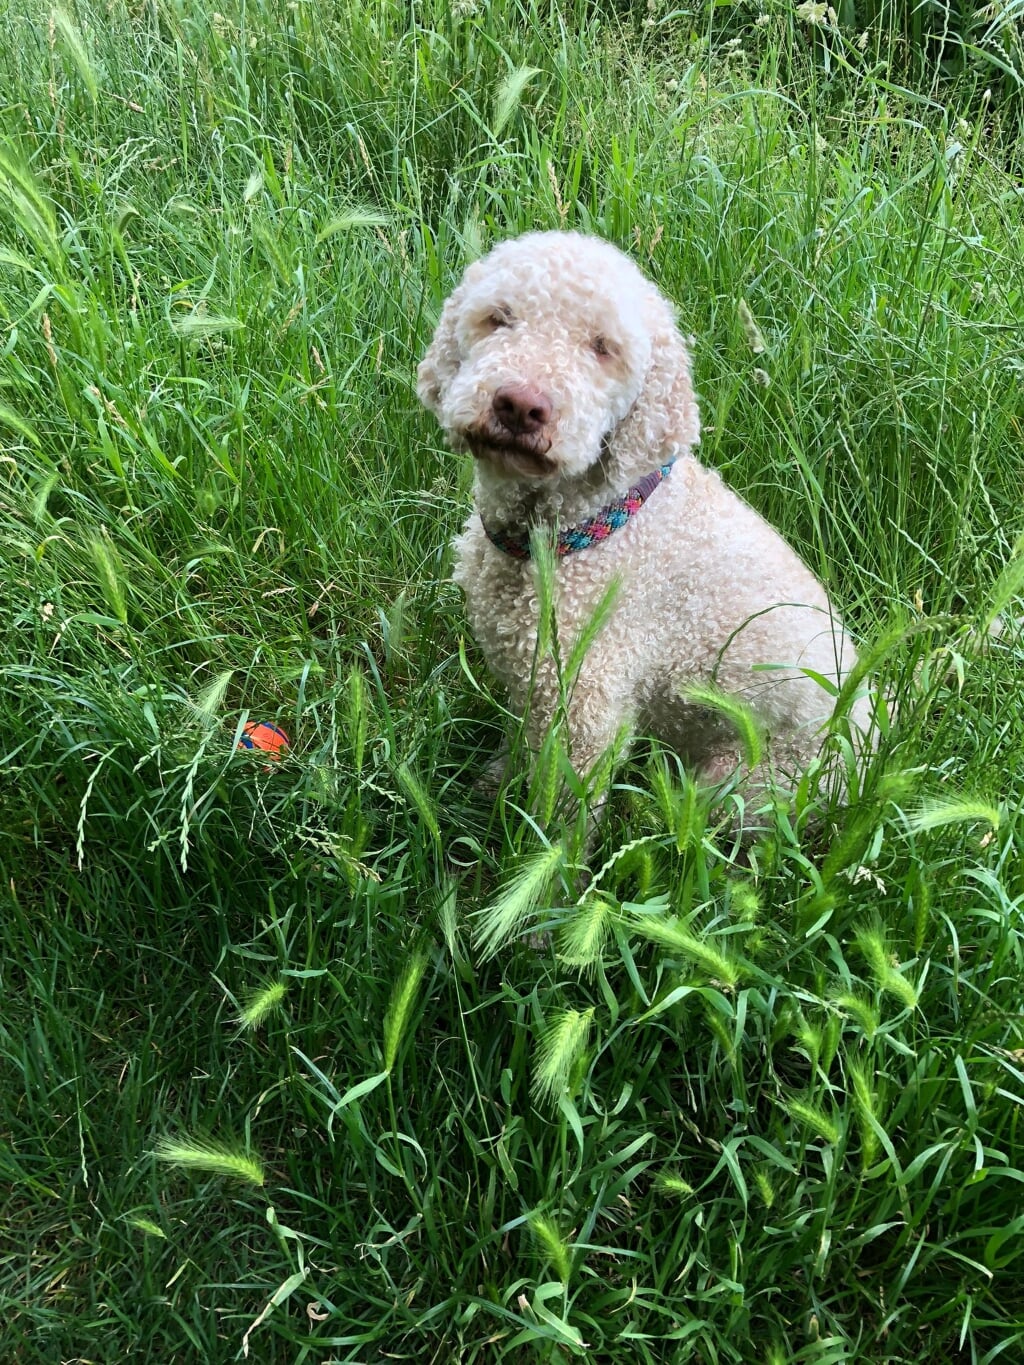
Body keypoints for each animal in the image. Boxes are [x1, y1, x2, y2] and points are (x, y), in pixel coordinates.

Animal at [420, 230, 868, 813]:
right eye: (498, 318)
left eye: (602, 347)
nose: (520, 404)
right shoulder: (531, 679)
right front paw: (498, 781)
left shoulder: (584, 707)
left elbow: (562, 808)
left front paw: (532, 835)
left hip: (743, 785)